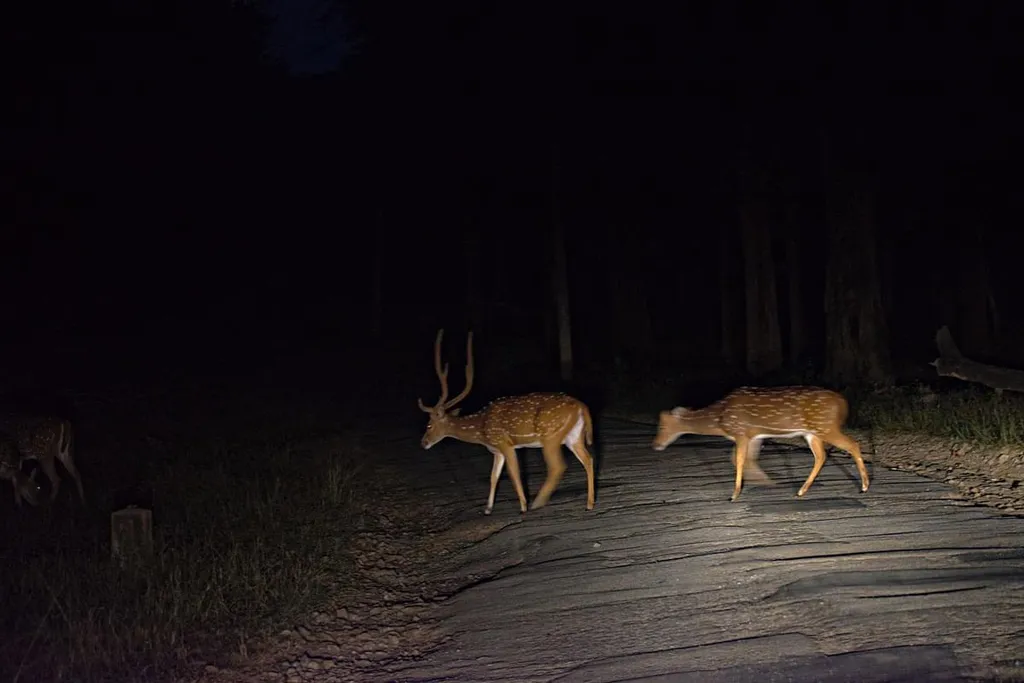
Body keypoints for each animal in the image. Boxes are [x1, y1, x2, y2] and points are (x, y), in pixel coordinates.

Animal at [415, 329, 598, 511]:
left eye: (429, 425)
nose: (423, 443)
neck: (481, 429)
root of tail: (582, 406)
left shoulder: (504, 443)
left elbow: (513, 473)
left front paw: (523, 506)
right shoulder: (497, 451)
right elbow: (493, 476)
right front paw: (488, 508)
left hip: (551, 435)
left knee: (557, 466)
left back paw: (537, 502)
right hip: (573, 436)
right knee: (588, 459)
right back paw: (589, 503)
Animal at [651, 385, 868, 501]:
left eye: (661, 426)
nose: (655, 445)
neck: (720, 419)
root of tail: (843, 404)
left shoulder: (740, 432)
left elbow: (738, 460)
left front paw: (734, 495)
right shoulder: (754, 436)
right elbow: (744, 459)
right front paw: (767, 482)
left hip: (826, 427)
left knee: (852, 444)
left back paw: (864, 486)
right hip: (813, 433)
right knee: (821, 456)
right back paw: (801, 491)